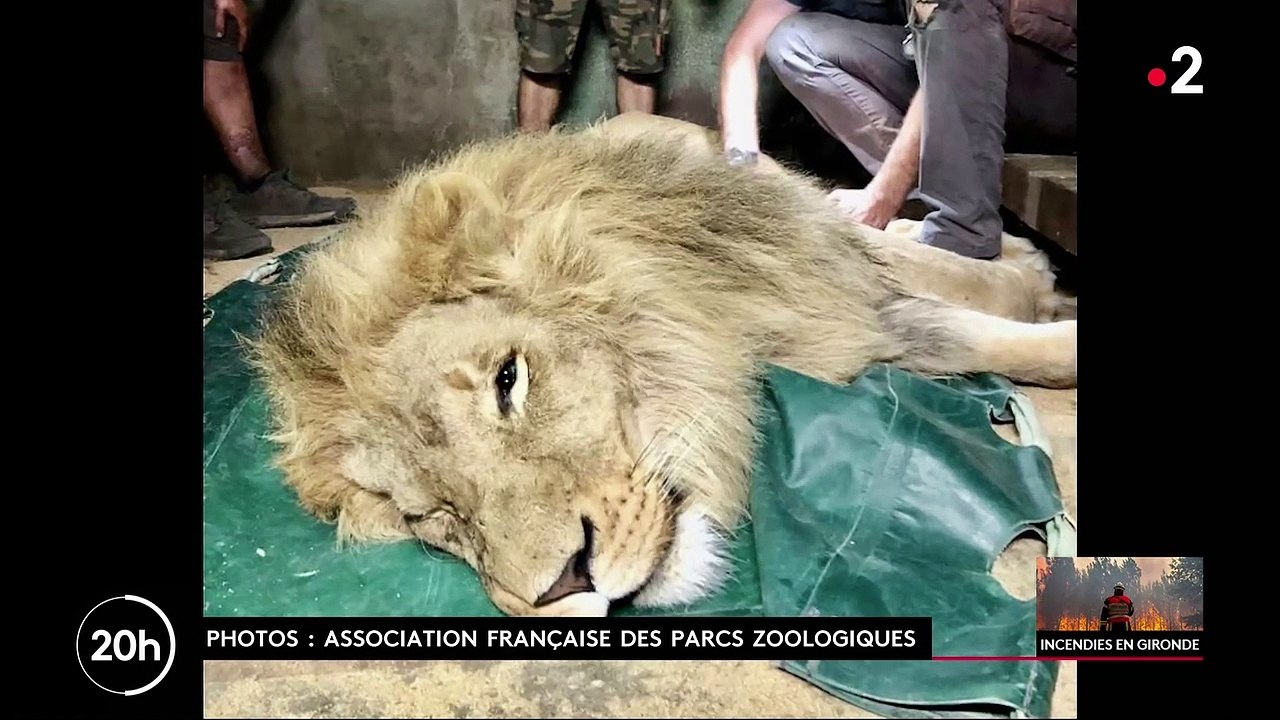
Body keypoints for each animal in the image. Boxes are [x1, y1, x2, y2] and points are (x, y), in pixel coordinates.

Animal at [249, 112, 1077, 618]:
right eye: (431, 516)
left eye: (509, 382)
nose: (562, 587)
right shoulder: (829, 326)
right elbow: (962, 330)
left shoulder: (793, 268)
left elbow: (934, 278)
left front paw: (1030, 283)